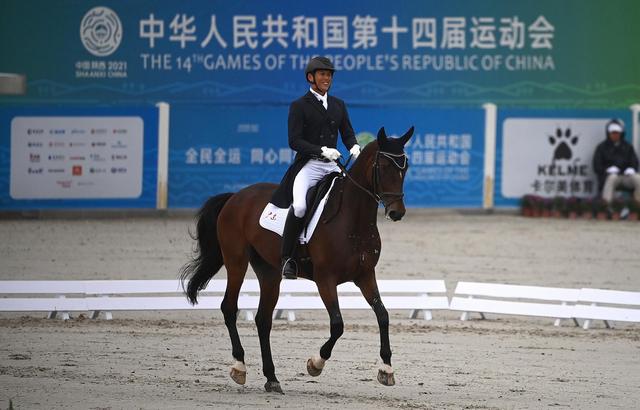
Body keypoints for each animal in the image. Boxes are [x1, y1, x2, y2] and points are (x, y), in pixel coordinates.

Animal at [180, 125, 416, 394]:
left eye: (405, 167)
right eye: (384, 167)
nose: (396, 212)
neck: (353, 220)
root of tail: (235, 196)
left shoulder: (365, 276)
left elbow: (383, 315)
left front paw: (386, 370)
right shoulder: (325, 279)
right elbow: (338, 325)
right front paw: (315, 364)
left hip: (269, 271)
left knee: (263, 320)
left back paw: (272, 378)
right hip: (236, 261)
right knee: (229, 308)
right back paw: (239, 367)